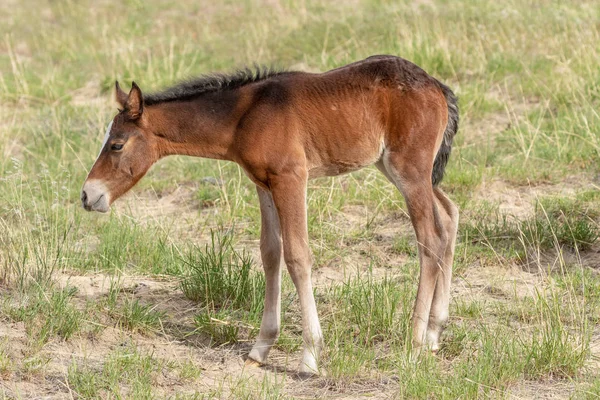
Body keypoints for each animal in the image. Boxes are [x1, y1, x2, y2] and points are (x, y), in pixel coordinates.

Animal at [81, 54, 460, 376]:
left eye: (116, 144)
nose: (88, 195)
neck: (245, 114)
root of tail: (435, 86)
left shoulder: (291, 178)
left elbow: (297, 256)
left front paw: (310, 357)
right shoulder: (263, 184)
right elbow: (270, 253)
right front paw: (260, 348)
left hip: (408, 169)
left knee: (429, 238)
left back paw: (414, 343)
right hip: (400, 169)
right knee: (449, 215)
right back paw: (434, 332)